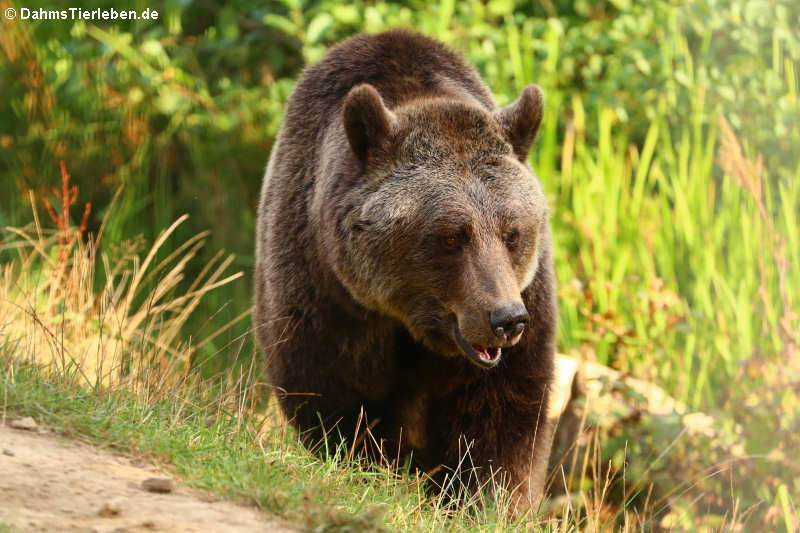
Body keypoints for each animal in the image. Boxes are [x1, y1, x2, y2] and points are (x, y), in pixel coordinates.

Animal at [256, 29, 556, 512]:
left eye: (513, 232)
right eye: (451, 236)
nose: (505, 319)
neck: (412, 321)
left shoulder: (527, 303)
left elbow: (504, 409)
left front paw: (490, 500)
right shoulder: (327, 295)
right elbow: (340, 398)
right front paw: (368, 470)